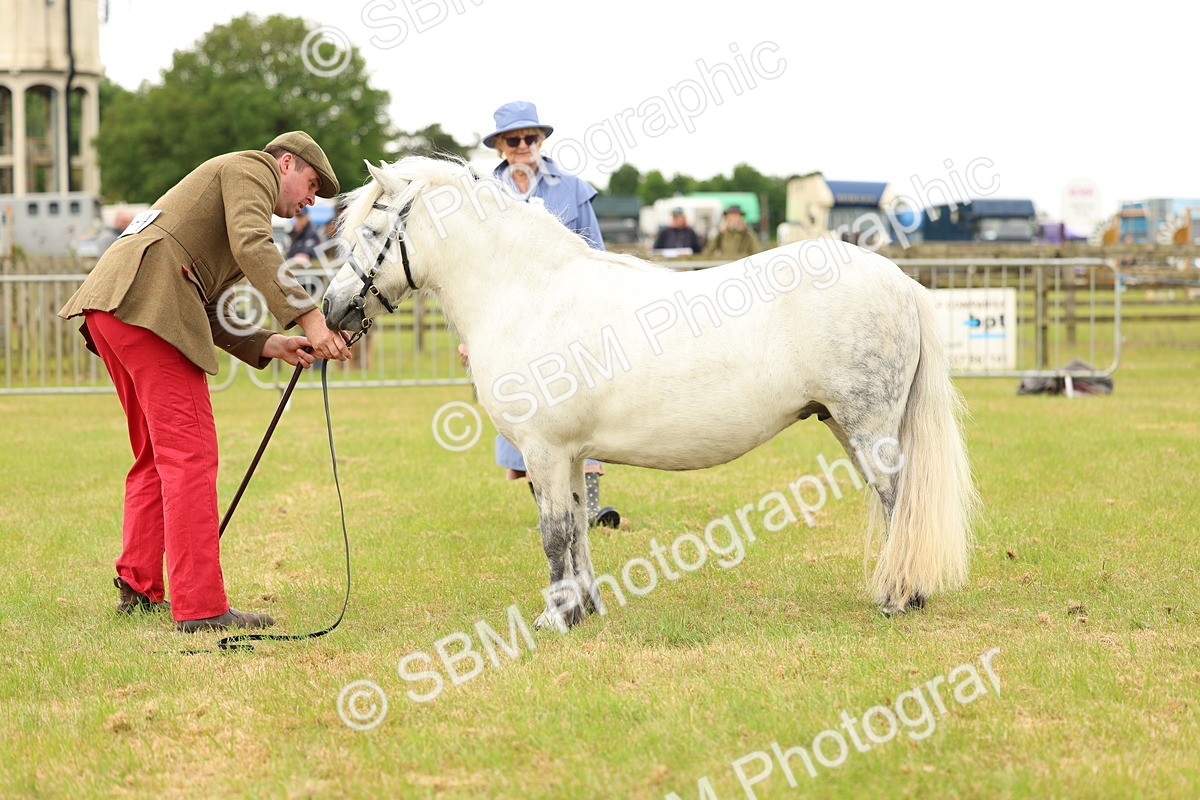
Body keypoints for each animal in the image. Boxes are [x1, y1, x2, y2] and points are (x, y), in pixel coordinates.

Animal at [321, 156, 980, 629]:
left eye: (373, 230)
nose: (330, 309)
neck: (529, 293)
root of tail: (897, 279)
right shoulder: (569, 454)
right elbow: (579, 527)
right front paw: (584, 609)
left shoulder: (544, 450)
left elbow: (553, 533)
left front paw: (554, 618)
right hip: (846, 425)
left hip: (868, 427)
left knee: (898, 500)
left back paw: (899, 596)